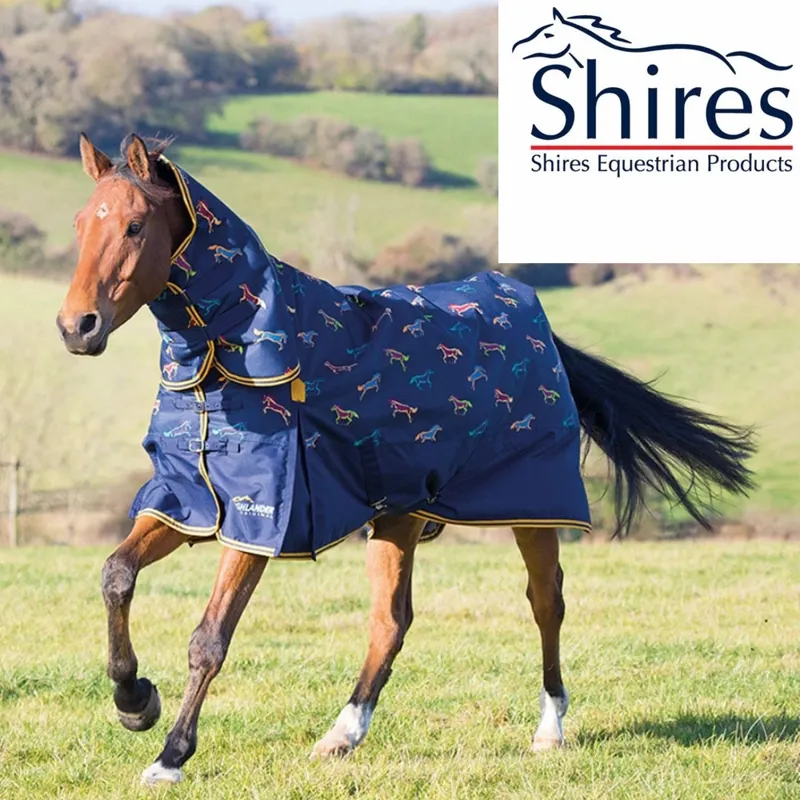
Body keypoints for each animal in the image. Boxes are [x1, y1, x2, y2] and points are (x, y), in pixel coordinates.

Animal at [56, 133, 755, 786]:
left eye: (134, 225)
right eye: (80, 223)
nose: (76, 327)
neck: (222, 361)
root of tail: (539, 325)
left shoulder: (262, 516)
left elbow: (209, 638)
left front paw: (170, 755)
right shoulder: (192, 502)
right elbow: (116, 575)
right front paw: (134, 700)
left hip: (531, 503)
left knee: (546, 601)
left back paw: (550, 728)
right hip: (399, 514)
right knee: (392, 620)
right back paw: (341, 735)